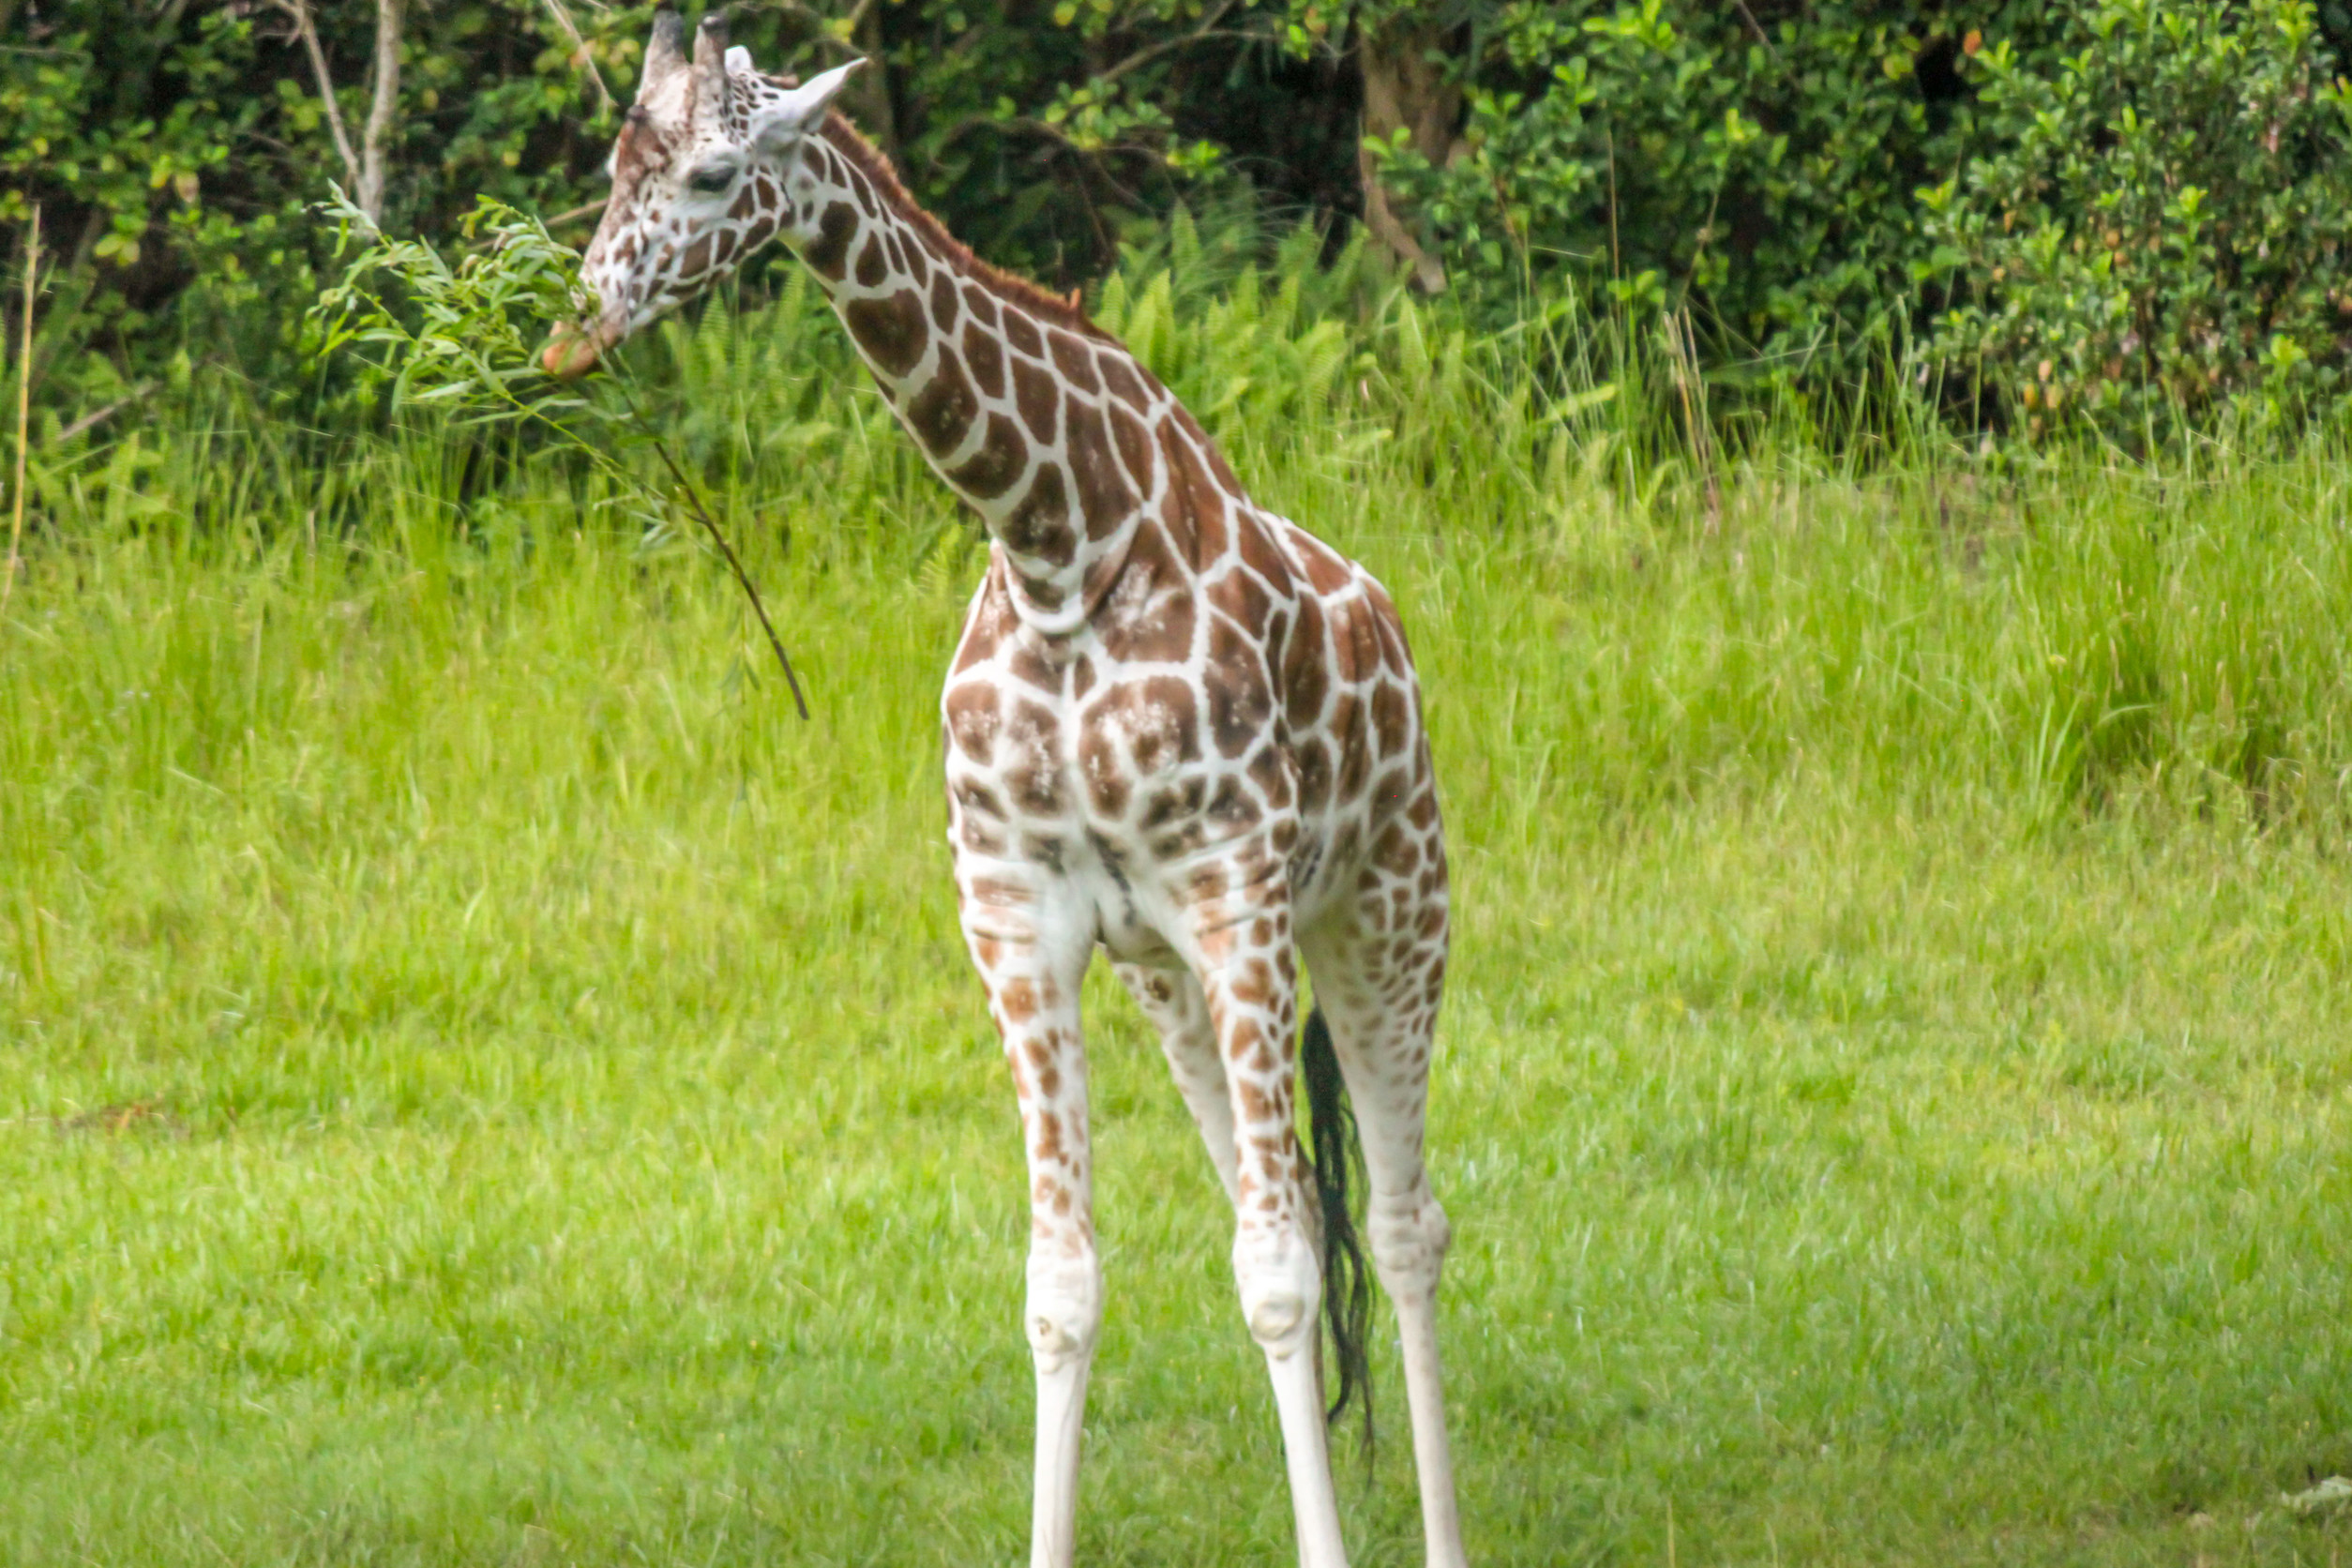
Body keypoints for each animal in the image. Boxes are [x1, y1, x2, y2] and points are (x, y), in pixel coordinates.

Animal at [545, 15, 1467, 1568]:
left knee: (1402, 1231)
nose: (580, 322)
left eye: (718, 171)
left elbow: (1282, 1274)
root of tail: (1391, 629)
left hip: (1383, 912)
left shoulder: (1236, 890)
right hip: (1174, 980)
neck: (1057, 546)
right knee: (1271, 1197)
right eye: (615, 166)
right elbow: (1065, 1289)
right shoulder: (1015, 912)